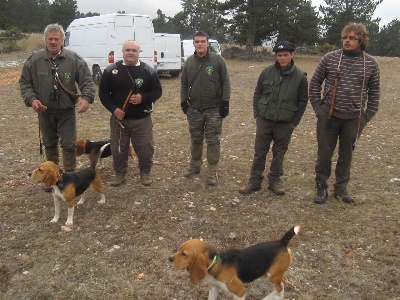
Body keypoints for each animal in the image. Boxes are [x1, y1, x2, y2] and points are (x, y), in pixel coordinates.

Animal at [168, 225, 300, 300]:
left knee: (280, 288)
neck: (215, 264)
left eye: (184, 254)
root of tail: (282, 242)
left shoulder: (240, 292)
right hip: (268, 274)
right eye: (179, 249)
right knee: (281, 285)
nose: (169, 258)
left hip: (272, 276)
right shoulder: (214, 288)